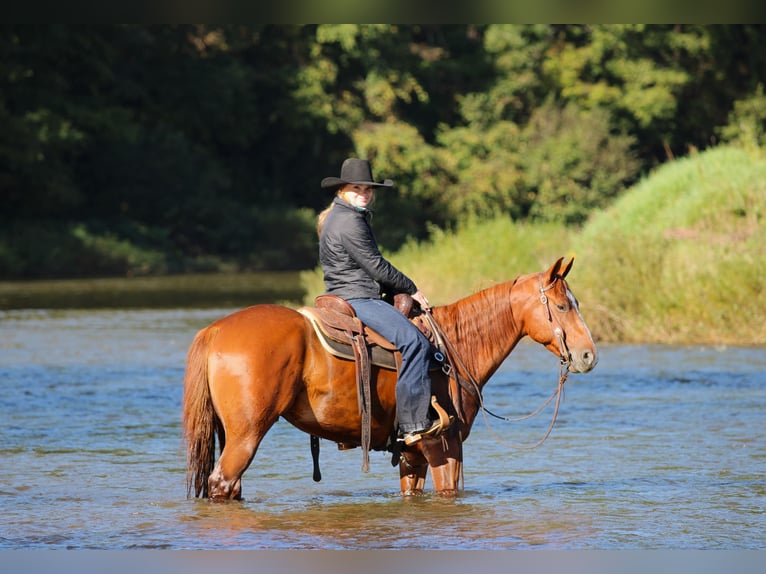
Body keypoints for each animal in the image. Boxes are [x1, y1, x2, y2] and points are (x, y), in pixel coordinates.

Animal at [182, 257, 597, 500]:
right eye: (563, 305)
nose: (588, 355)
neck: (452, 346)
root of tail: (215, 330)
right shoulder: (444, 445)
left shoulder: (412, 456)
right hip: (246, 435)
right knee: (222, 484)